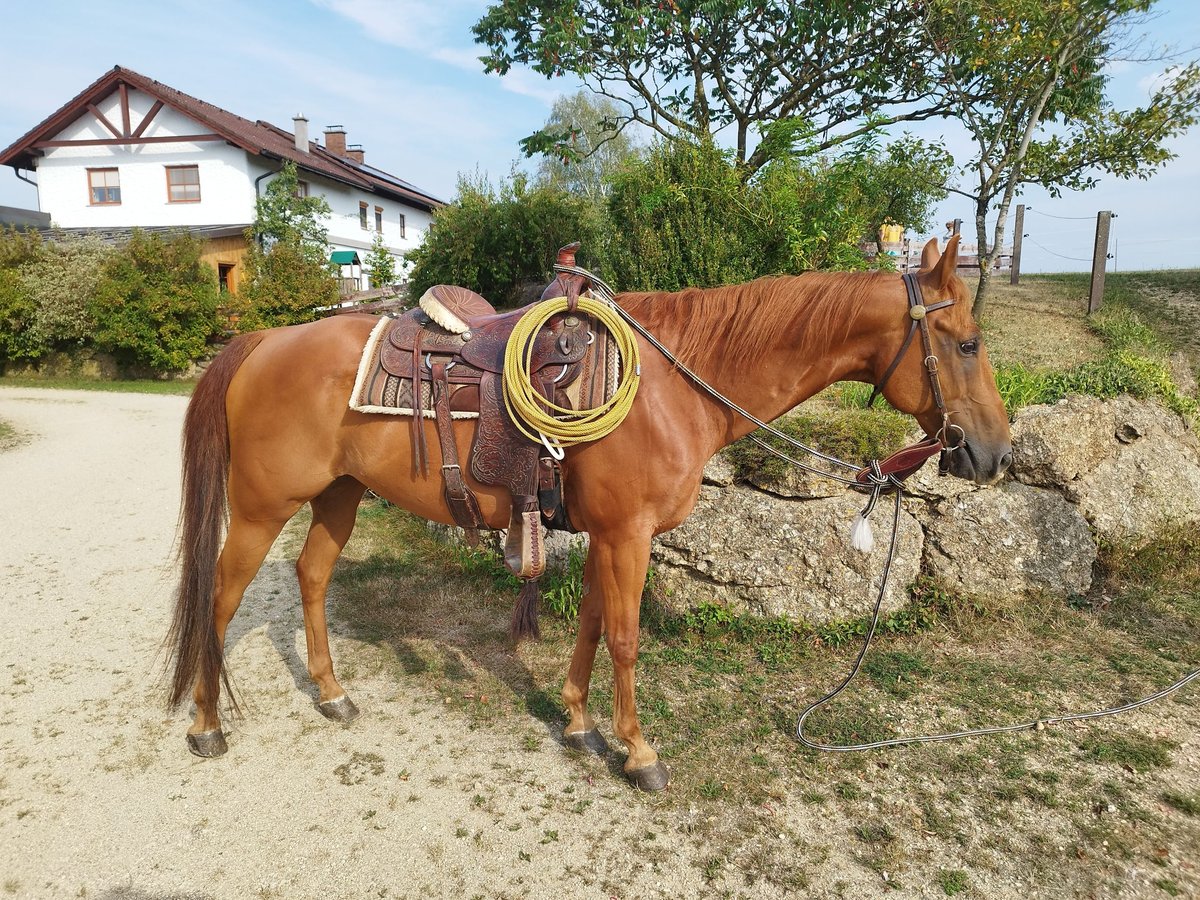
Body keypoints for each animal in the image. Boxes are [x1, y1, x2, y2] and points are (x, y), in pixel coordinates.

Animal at [171, 237, 1012, 787]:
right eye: (967, 343)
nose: (995, 455)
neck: (673, 387)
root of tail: (264, 339)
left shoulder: (606, 534)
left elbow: (590, 625)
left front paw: (578, 725)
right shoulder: (628, 535)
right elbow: (628, 638)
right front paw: (638, 753)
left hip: (339, 494)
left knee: (311, 577)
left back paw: (332, 694)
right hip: (261, 509)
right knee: (220, 600)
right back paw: (206, 724)